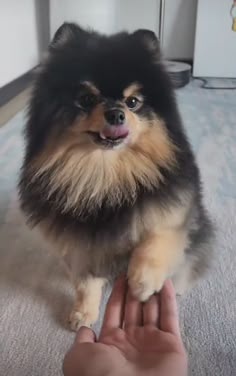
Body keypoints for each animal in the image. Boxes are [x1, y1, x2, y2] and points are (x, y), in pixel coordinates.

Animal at [19, 22, 213, 328]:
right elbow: (85, 282)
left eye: (132, 101)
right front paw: (83, 312)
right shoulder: (80, 244)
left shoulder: (175, 210)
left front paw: (143, 281)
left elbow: (158, 237)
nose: (116, 114)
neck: (106, 174)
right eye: (86, 99)